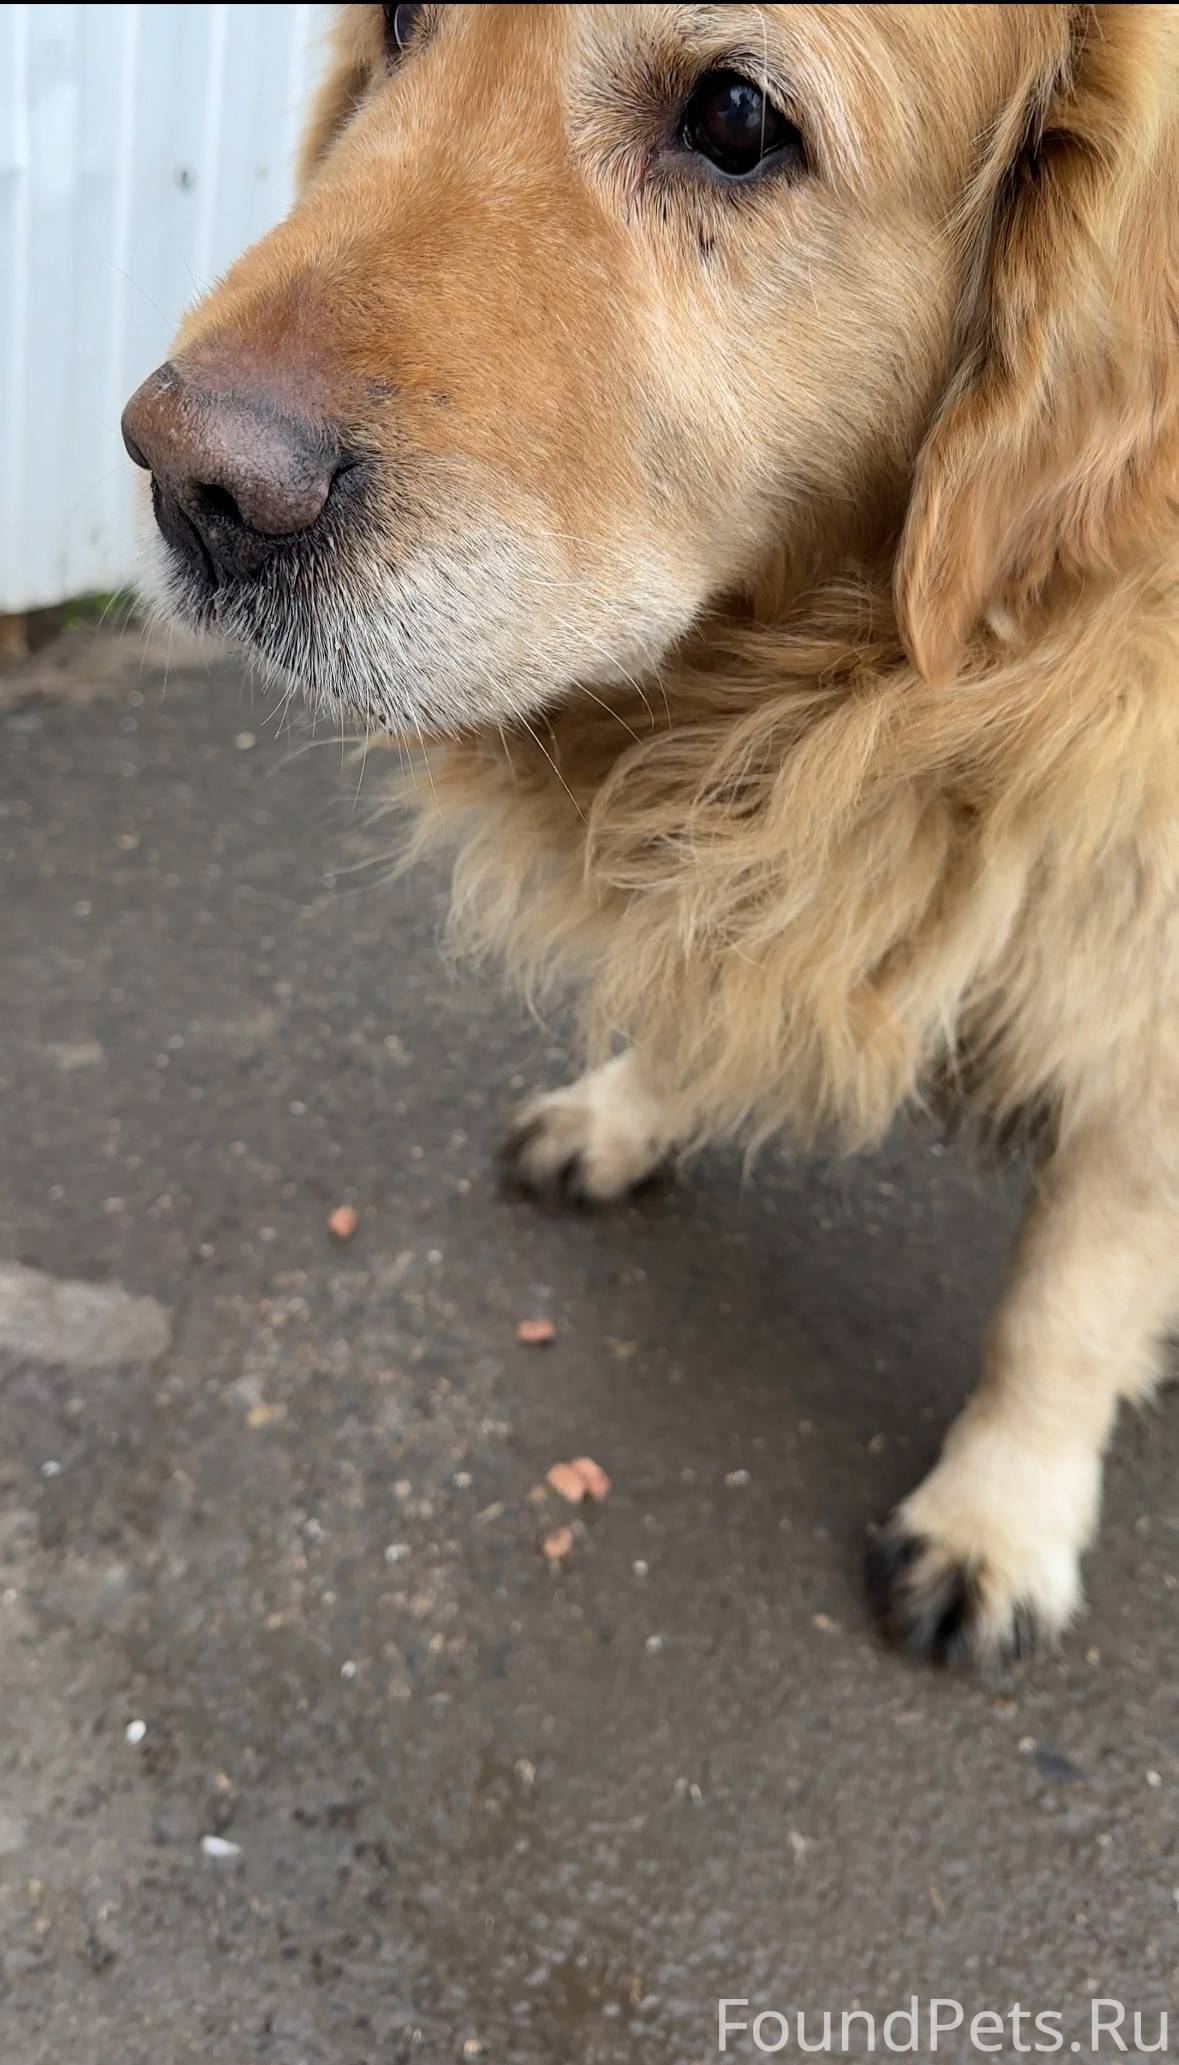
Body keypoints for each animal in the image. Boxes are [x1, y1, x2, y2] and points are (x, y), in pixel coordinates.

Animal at [122, 3, 1179, 1668]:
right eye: (401, 25)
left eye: (736, 118)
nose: (190, 481)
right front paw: (629, 1108)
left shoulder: (1141, 1005)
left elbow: (1064, 1299)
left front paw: (996, 1514)